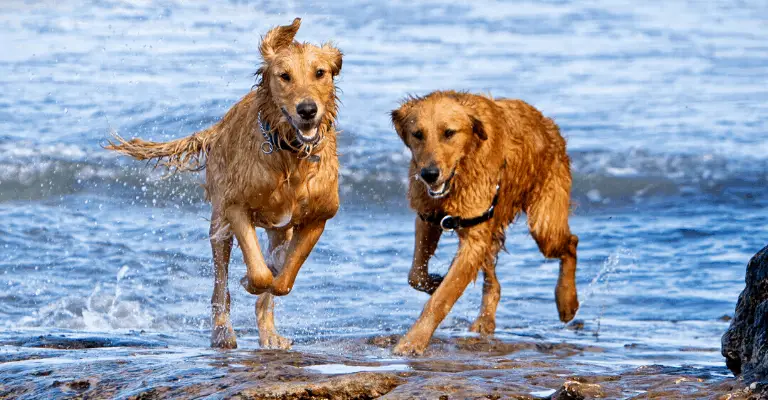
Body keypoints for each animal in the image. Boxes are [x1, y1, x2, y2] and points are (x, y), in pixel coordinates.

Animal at [105, 18, 342, 348]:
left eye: (320, 72)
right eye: (284, 76)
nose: (307, 110)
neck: (290, 154)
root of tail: (220, 126)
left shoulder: (319, 217)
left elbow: (283, 280)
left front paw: (278, 267)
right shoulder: (235, 207)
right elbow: (259, 275)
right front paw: (252, 279)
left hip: (277, 227)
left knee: (270, 283)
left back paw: (269, 334)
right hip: (219, 224)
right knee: (220, 287)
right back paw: (222, 332)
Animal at [390, 90, 576, 354]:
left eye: (449, 133)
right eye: (418, 134)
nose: (429, 174)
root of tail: (548, 123)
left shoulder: (474, 236)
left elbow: (442, 298)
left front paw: (412, 341)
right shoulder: (428, 216)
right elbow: (415, 274)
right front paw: (435, 282)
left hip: (544, 224)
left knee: (571, 243)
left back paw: (567, 302)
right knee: (494, 284)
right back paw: (485, 321)